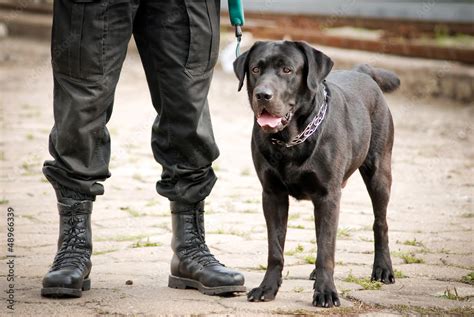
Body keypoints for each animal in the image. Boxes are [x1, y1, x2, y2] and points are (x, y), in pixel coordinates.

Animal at [233, 40, 400, 308]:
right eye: (256, 69)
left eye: (287, 70)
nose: (263, 95)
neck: (290, 139)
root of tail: (362, 72)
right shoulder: (272, 194)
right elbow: (276, 249)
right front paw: (267, 288)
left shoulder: (327, 195)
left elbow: (326, 249)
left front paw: (326, 292)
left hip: (379, 171)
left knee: (380, 222)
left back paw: (383, 269)